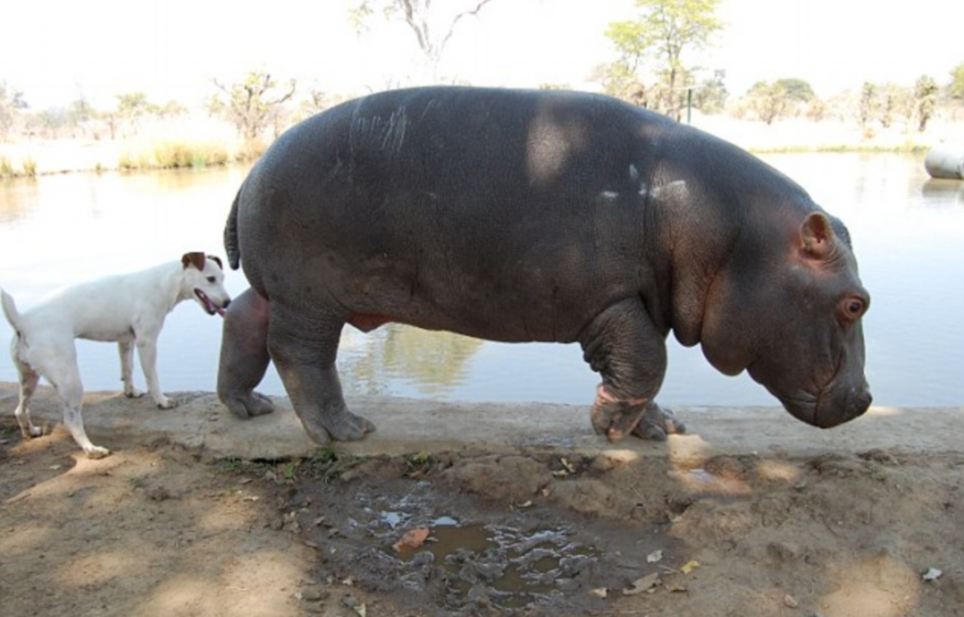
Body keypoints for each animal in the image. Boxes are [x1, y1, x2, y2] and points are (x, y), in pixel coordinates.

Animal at [0, 251, 231, 458]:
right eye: (210, 279)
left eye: (223, 277)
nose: (228, 302)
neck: (163, 283)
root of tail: (22, 322)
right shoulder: (146, 341)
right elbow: (152, 377)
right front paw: (162, 401)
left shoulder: (125, 340)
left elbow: (127, 368)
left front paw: (131, 392)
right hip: (69, 379)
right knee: (71, 419)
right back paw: (92, 449)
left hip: (29, 377)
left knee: (20, 410)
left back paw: (31, 431)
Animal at [218, 85, 872, 442]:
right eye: (854, 302)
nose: (866, 400)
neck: (734, 231)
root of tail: (252, 167)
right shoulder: (610, 299)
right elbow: (647, 361)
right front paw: (610, 427)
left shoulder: (639, 299)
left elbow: (645, 369)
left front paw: (660, 430)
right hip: (310, 297)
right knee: (300, 354)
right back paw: (344, 431)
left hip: (284, 289)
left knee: (244, 320)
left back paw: (248, 408)